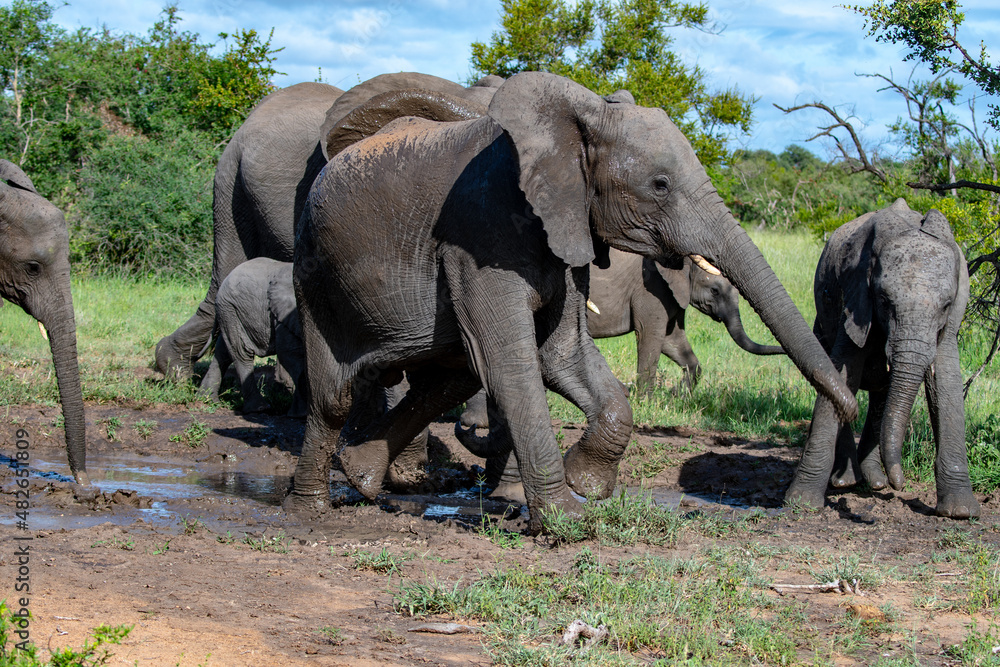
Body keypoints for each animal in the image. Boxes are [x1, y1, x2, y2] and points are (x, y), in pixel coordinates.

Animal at [198, 257, 306, 417]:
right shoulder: (282, 315)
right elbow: (290, 354)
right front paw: (300, 415)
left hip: (230, 312)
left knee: (223, 352)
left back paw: (207, 399)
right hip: (230, 307)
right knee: (241, 353)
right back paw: (259, 408)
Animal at [459, 248, 784, 427]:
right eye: (715, 290)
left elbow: (675, 344)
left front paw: (677, 397)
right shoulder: (651, 289)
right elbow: (652, 338)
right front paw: (645, 403)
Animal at [785, 198, 978, 518]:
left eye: (946, 305)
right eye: (885, 301)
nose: (900, 484)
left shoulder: (950, 323)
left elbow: (946, 382)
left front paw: (961, 512)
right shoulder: (856, 296)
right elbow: (843, 371)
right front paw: (801, 502)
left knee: (881, 395)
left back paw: (874, 481)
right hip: (822, 321)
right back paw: (847, 481)